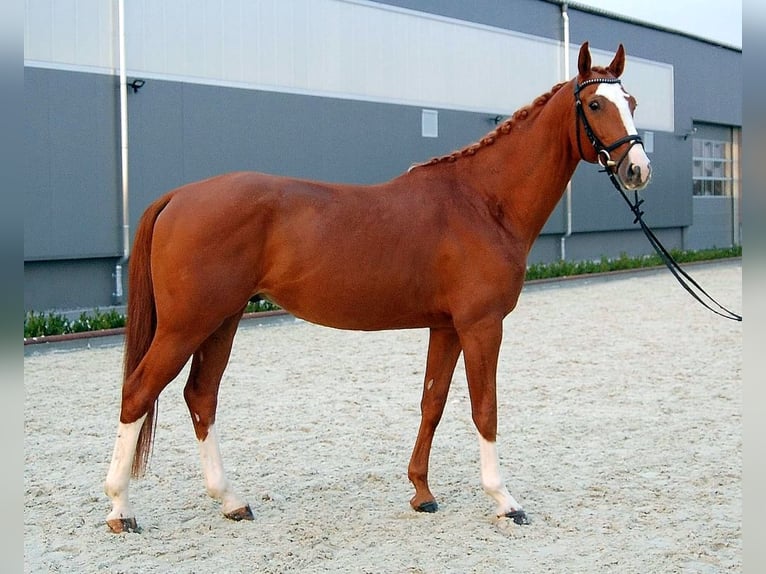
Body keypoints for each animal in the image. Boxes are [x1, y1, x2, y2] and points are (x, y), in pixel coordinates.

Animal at [103, 41, 656, 536]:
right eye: (595, 104)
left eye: (632, 102)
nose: (637, 169)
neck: (482, 202)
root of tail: (179, 196)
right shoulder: (482, 326)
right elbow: (485, 408)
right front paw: (504, 500)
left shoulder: (446, 328)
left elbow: (433, 403)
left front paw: (422, 493)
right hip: (187, 324)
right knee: (138, 392)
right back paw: (120, 510)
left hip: (223, 319)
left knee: (201, 395)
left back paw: (230, 501)